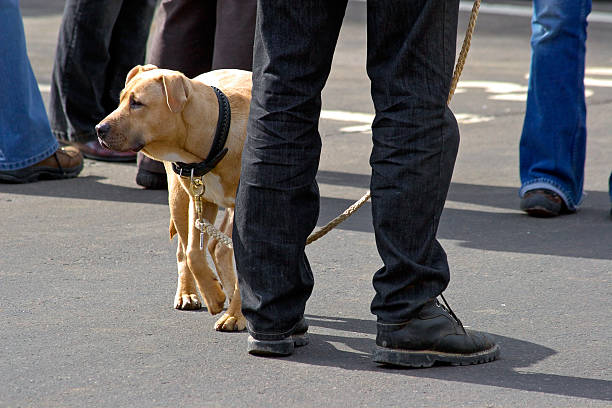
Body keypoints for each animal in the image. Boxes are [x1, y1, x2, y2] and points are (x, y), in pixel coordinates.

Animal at [97, 64, 250, 332]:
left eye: (137, 103)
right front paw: (213, 295)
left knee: (218, 247)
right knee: (187, 250)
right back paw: (189, 294)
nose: (98, 129)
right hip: (179, 199)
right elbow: (193, 254)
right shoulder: (199, 201)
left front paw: (234, 313)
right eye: (121, 100)